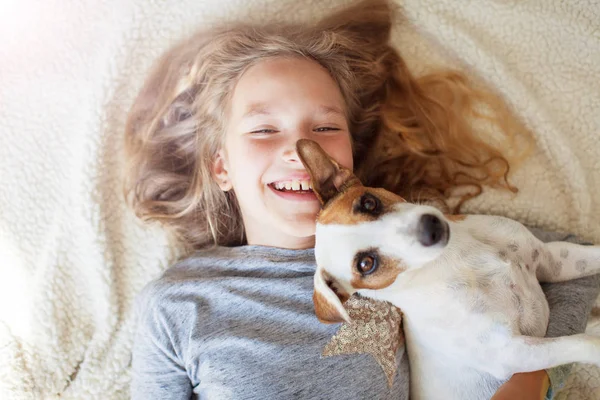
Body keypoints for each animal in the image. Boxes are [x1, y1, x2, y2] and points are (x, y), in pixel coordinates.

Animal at [296, 138, 600, 400]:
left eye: (369, 202)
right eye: (366, 264)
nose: (430, 226)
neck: (453, 260)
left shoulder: (552, 260)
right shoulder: (511, 352)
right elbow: (580, 342)